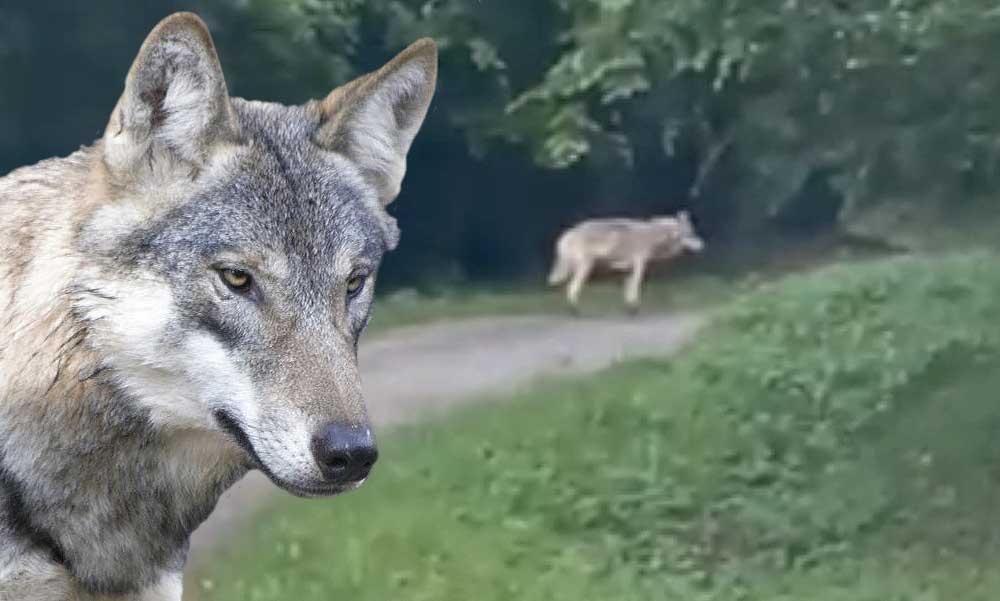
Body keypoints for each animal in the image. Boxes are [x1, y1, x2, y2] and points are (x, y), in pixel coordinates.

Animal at [548, 211, 704, 312]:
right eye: (690, 234)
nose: (702, 245)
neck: (654, 235)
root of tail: (566, 235)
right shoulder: (640, 264)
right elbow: (635, 286)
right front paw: (634, 308)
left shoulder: (627, 268)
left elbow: (628, 289)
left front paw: (629, 307)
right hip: (584, 267)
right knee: (571, 288)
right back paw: (575, 310)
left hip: (573, 269)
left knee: (566, 287)